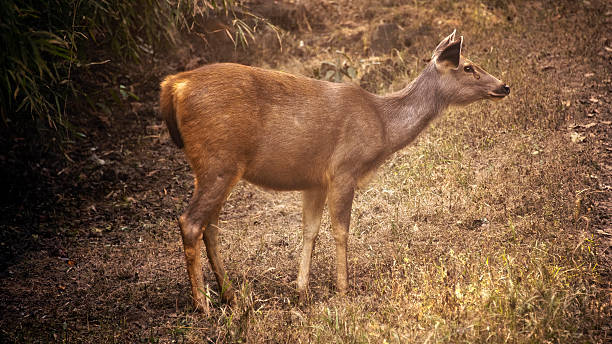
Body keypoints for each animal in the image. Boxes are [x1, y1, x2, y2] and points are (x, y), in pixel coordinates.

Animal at [160, 30, 510, 314]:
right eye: (468, 67)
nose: (504, 86)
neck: (383, 125)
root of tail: (174, 85)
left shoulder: (314, 181)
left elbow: (309, 231)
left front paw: (302, 291)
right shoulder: (345, 168)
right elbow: (341, 229)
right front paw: (343, 288)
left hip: (220, 168)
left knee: (210, 227)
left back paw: (231, 296)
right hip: (218, 161)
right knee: (190, 222)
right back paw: (203, 305)